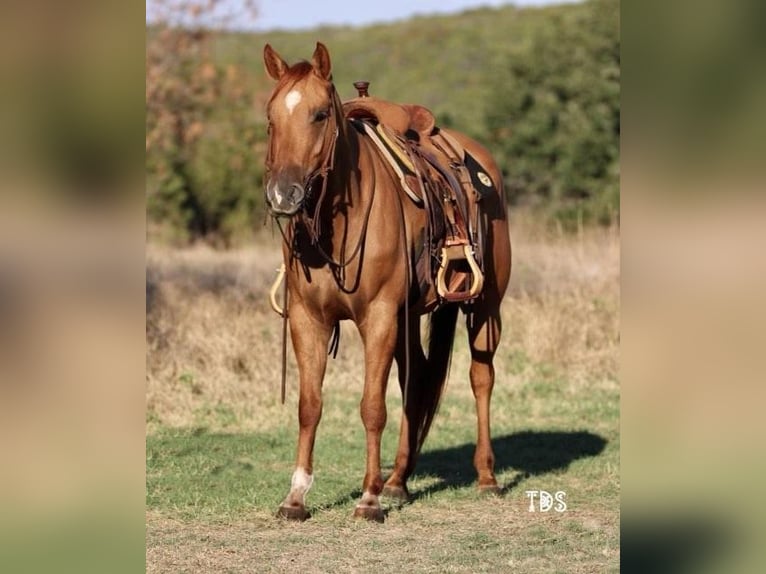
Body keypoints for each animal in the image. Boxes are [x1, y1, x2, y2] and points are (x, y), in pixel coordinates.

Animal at [262, 42, 510, 524]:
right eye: (270, 116)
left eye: (320, 114)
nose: (284, 193)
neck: (339, 225)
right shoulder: (308, 320)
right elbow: (309, 406)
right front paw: (296, 497)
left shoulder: (377, 318)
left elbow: (372, 407)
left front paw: (369, 498)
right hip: (410, 319)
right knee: (415, 385)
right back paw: (398, 481)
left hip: (486, 306)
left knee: (481, 378)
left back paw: (486, 477)